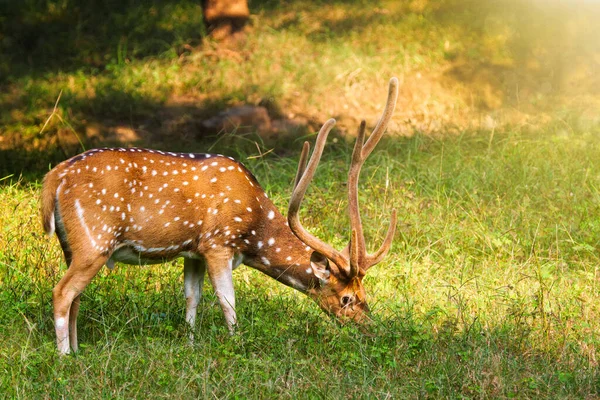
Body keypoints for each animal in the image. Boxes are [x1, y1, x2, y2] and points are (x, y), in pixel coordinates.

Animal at [41, 77, 398, 354]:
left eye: (365, 295)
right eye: (348, 298)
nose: (370, 329)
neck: (254, 231)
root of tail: (54, 178)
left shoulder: (193, 252)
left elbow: (191, 299)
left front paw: (190, 346)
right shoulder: (217, 245)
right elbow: (228, 302)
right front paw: (236, 346)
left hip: (72, 245)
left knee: (75, 297)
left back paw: (78, 350)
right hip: (94, 240)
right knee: (62, 292)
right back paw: (65, 358)